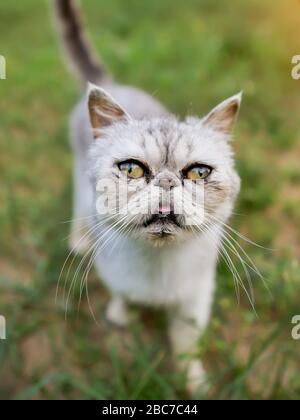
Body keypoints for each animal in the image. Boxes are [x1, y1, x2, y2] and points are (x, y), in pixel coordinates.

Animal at [54, 0, 241, 394]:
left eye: (198, 173)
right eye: (132, 170)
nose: (167, 183)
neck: (158, 266)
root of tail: (113, 84)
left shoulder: (194, 303)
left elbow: (186, 348)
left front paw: (195, 383)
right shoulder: (117, 276)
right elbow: (124, 296)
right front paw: (121, 317)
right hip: (79, 181)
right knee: (78, 207)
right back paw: (79, 240)